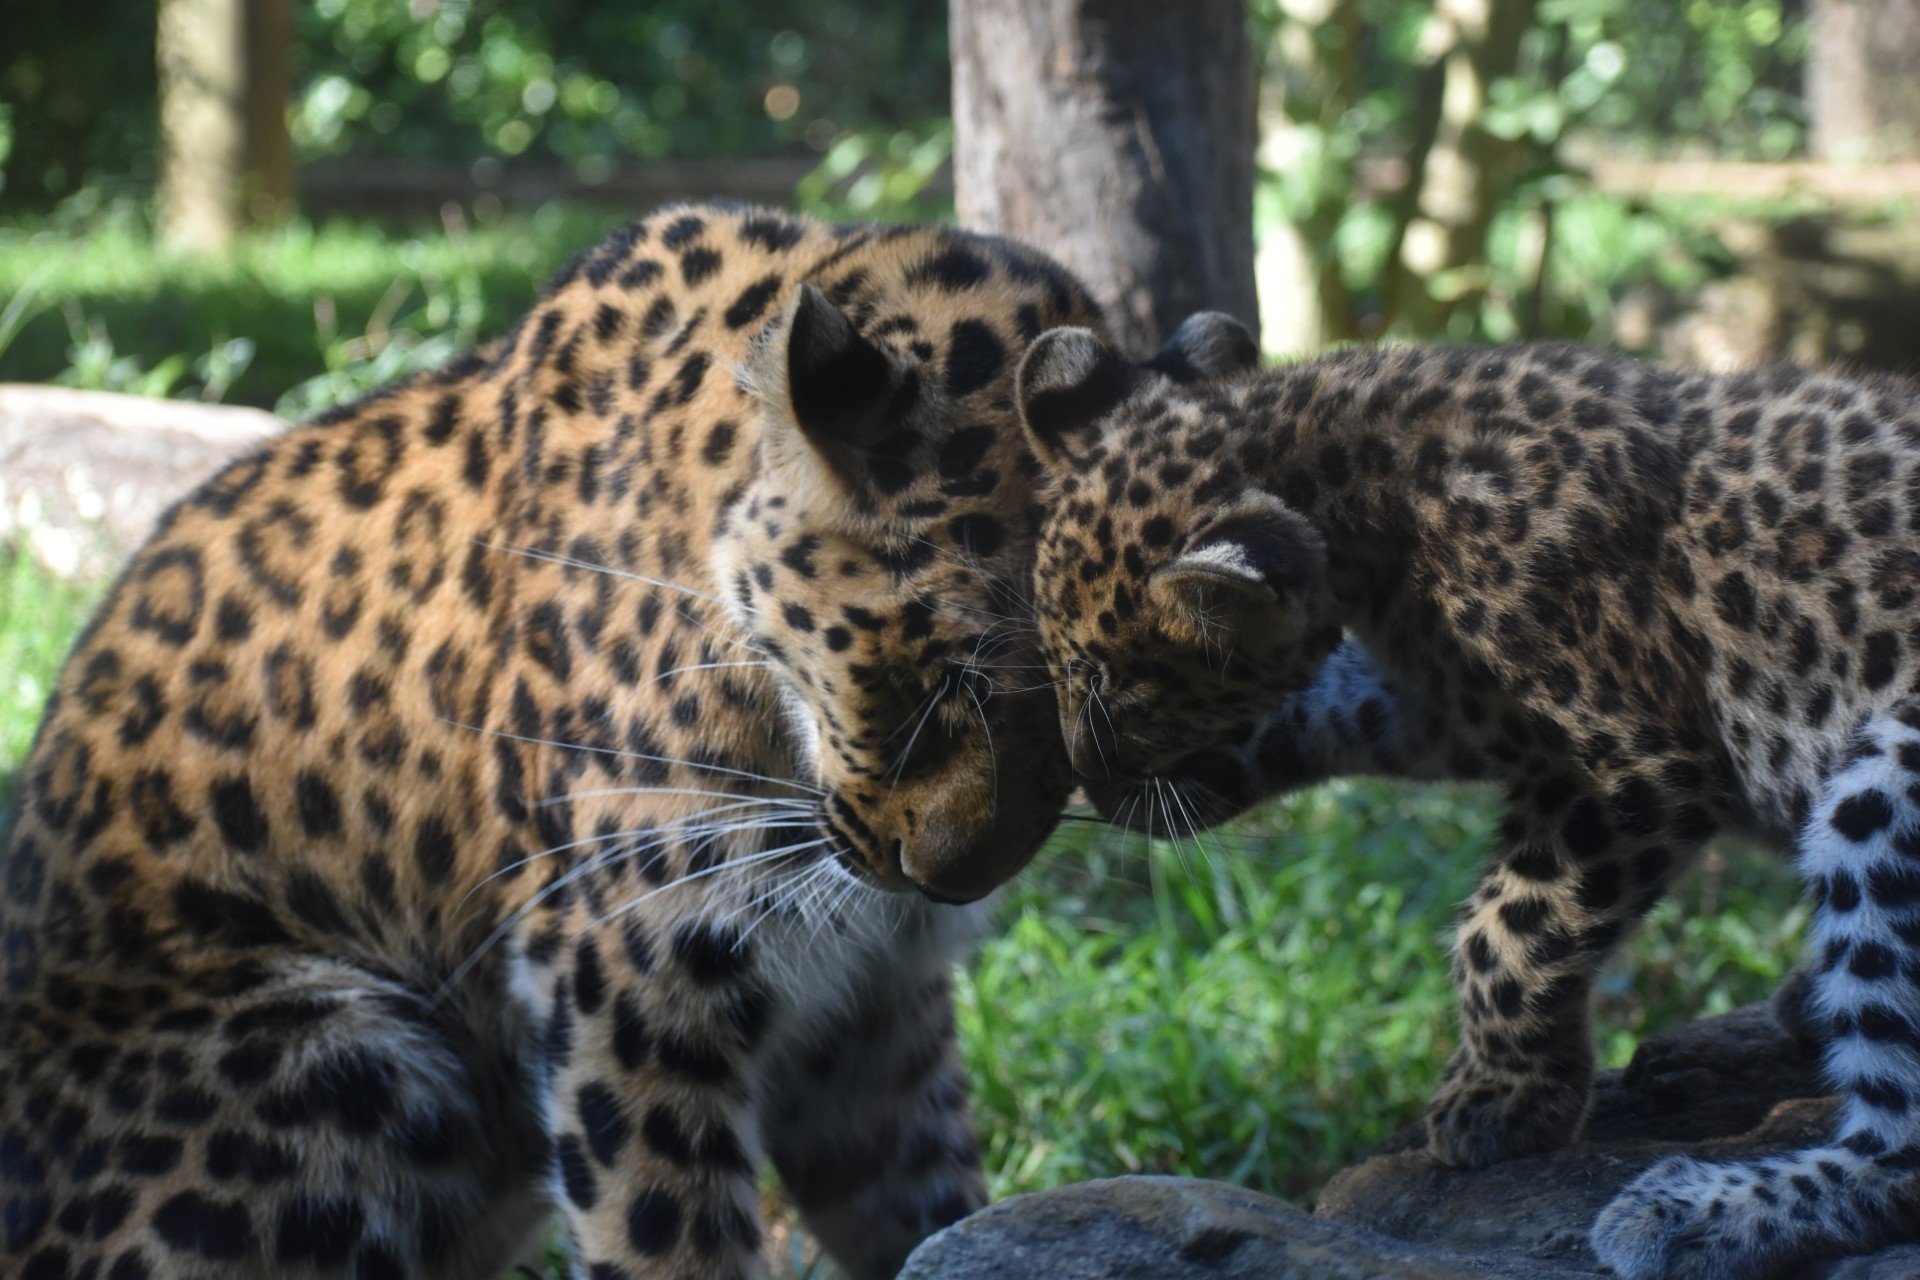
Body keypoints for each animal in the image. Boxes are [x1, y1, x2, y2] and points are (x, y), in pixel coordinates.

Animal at [0, 200, 1252, 1280]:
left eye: (1097, 703)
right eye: (938, 667)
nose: (945, 881)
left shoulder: (874, 1015)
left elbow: (926, 1203)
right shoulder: (639, 971)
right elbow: (668, 1235)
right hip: (337, 1048)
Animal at [1015, 322, 1920, 1278]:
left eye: (1118, 693)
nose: (1096, 785)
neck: (1361, 490)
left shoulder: (1627, 760)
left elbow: (1508, 927)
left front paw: (1500, 1101)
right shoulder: (1452, 698)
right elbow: (1331, 702)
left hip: (1886, 784)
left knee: (1903, 1146)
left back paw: (1692, 1211)